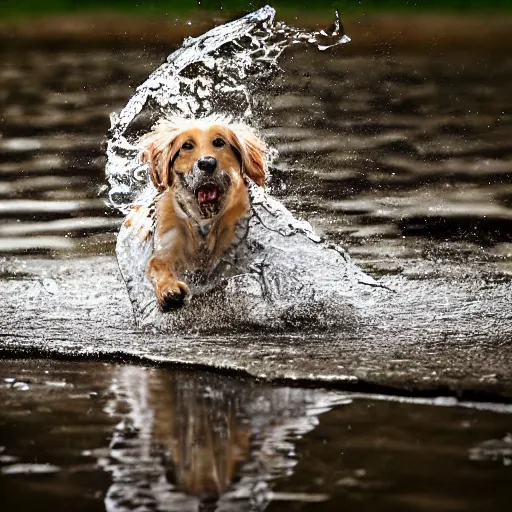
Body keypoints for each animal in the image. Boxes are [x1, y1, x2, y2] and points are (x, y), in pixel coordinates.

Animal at [136, 118, 266, 310]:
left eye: (219, 141)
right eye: (187, 145)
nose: (207, 163)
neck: (204, 221)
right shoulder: (169, 241)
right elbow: (158, 264)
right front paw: (169, 290)